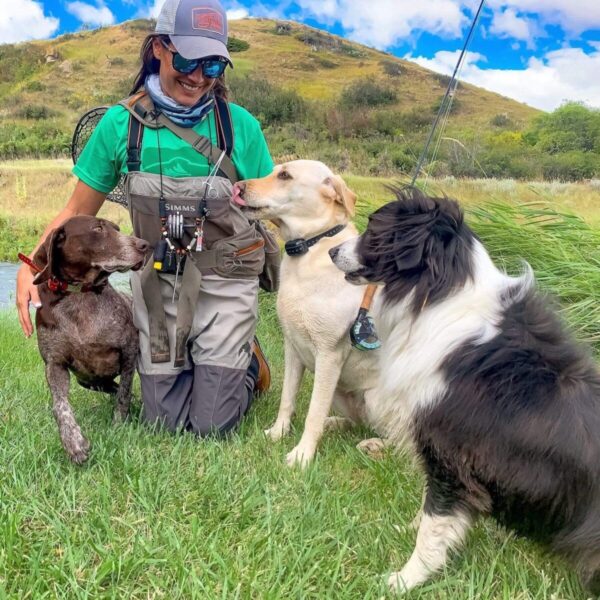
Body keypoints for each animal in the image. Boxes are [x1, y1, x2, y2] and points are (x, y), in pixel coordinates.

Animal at [31, 216, 148, 464]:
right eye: (98, 228)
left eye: (117, 229)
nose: (144, 245)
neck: (80, 295)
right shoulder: (54, 364)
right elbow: (60, 406)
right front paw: (73, 442)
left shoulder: (129, 352)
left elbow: (123, 394)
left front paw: (119, 426)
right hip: (87, 380)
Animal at [330, 190, 600, 592]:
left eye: (375, 228)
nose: (332, 251)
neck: (437, 295)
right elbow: (431, 512)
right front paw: (408, 530)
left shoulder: (452, 455)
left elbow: (435, 523)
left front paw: (405, 580)